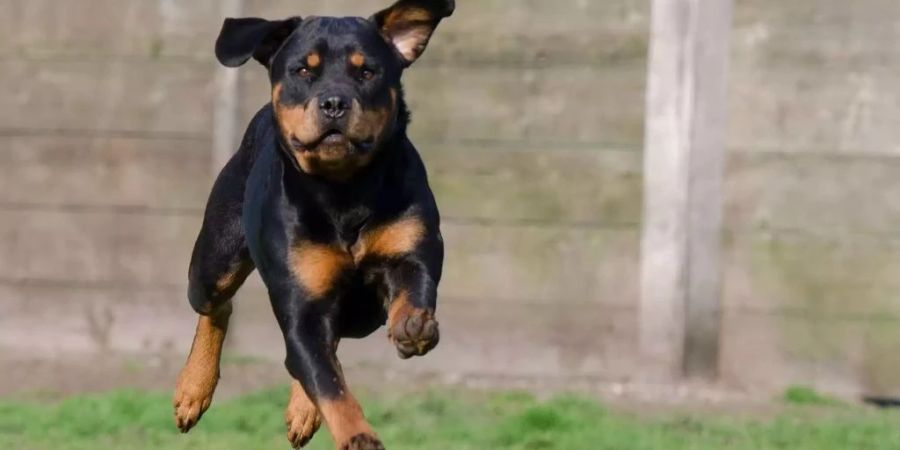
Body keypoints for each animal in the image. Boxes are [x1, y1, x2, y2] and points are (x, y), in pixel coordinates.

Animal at [172, 1, 454, 448]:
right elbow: (327, 382)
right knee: (219, 306)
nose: (335, 102)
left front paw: (413, 324)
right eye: (303, 70)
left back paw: (301, 410)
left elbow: (414, 283)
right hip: (214, 261)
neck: (344, 190)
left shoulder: (412, 247)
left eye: (367, 71)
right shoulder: (301, 299)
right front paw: (358, 435)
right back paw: (192, 390)